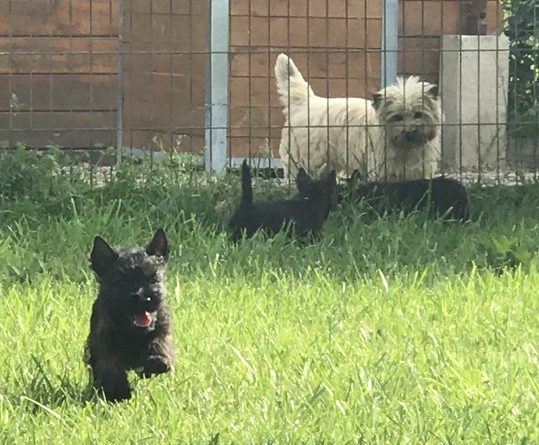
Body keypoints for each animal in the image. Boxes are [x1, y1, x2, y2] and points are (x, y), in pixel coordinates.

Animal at [84, 227, 174, 400]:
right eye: (122, 282)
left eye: (153, 279)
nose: (144, 298)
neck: (133, 331)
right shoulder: (103, 340)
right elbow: (110, 364)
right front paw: (118, 392)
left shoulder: (162, 328)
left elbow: (160, 342)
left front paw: (158, 361)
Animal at [274, 53, 442, 180]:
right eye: (397, 117)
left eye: (418, 114)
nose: (410, 132)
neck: (407, 148)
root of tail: (306, 102)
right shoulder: (383, 169)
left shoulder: (420, 170)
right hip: (304, 161)